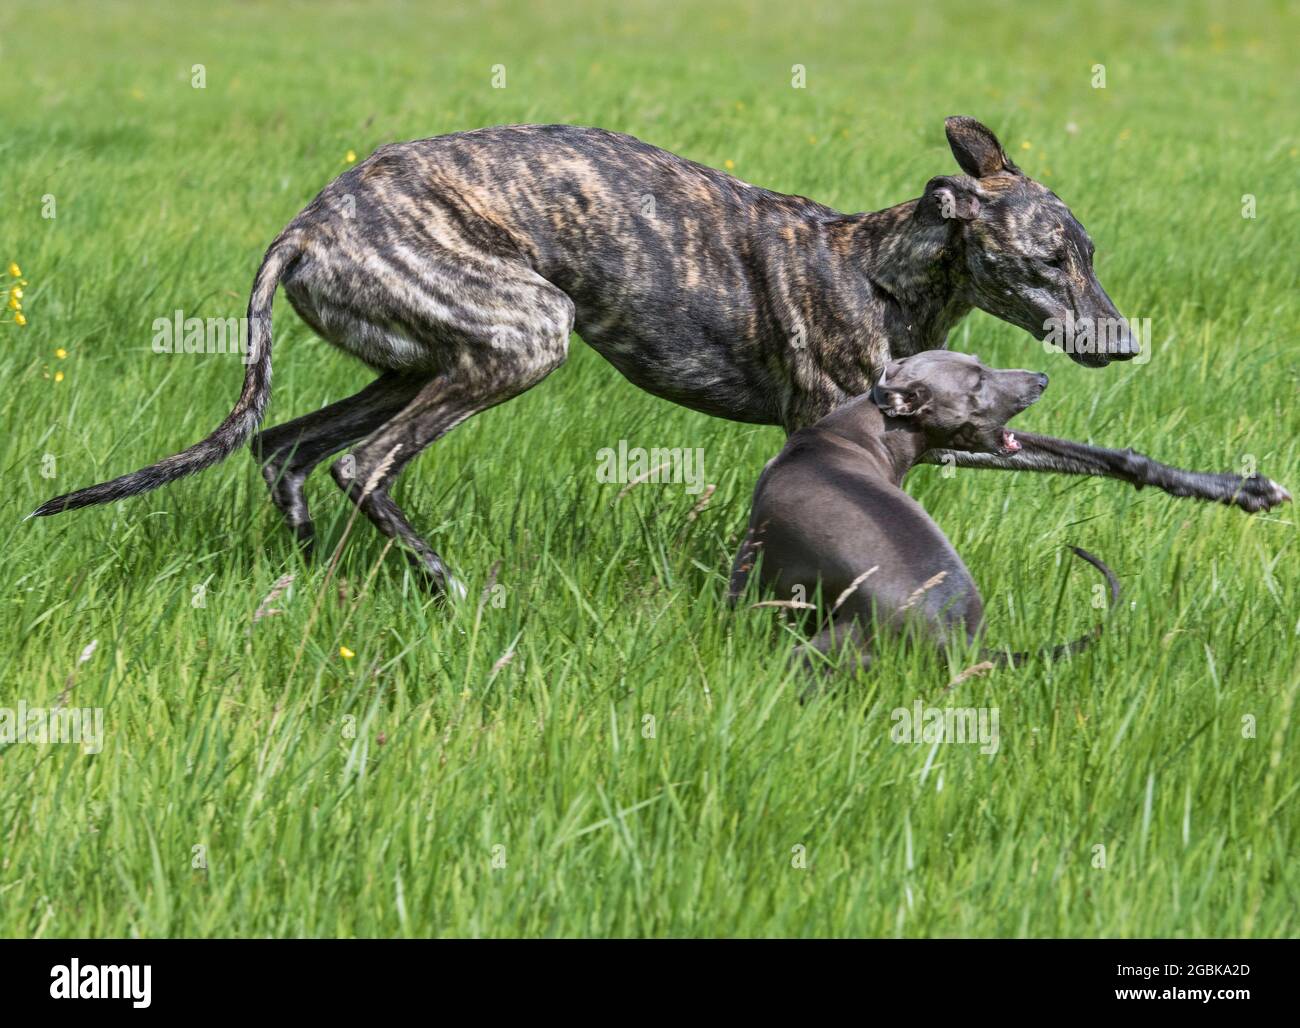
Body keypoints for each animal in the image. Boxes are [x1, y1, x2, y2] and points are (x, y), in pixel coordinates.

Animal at [30, 117, 1289, 595]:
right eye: (1046, 260)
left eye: (1090, 253)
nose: (1120, 341)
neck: (877, 264)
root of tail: (307, 220)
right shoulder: (880, 433)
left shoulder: (964, 432)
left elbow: (1113, 455)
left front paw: (1237, 486)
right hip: (519, 340)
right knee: (360, 464)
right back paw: (451, 587)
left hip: (412, 358)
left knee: (288, 451)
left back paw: (317, 574)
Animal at [728, 350, 1123, 675]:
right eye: (977, 380)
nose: (1042, 378)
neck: (853, 434)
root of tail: (960, 636)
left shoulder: (752, 551)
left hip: (830, 646)